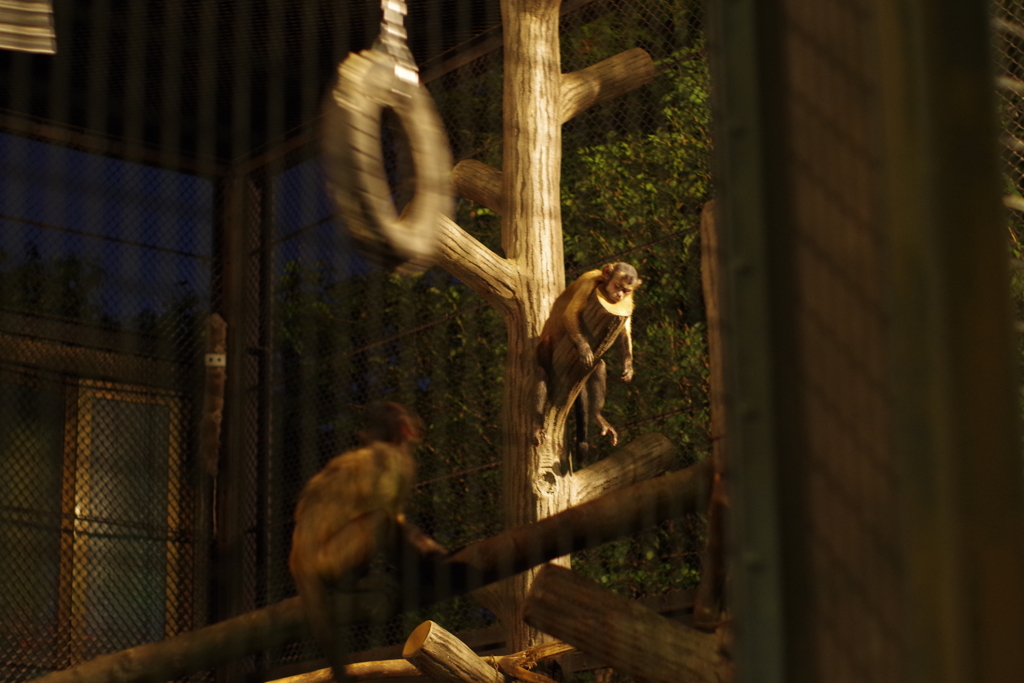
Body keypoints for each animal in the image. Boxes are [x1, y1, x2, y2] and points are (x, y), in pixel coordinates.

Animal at [290, 403, 446, 679]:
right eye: (413, 422)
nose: (420, 426)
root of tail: (299, 555)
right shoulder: (397, 461)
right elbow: (392, 520)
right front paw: (425, 566)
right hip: (329, 557)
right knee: (379, 519)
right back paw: (348, 583)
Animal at [536, 264, 638, 456]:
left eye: (626, 290)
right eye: (617, 286)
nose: (620, 295)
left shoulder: (629, 301)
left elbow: (624, 332)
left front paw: (628, 366)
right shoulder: (589, 281)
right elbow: (570, 313)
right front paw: (584, 349)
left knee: (598, 366)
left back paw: (597, 415)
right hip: (548, 346)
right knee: (543, 372)